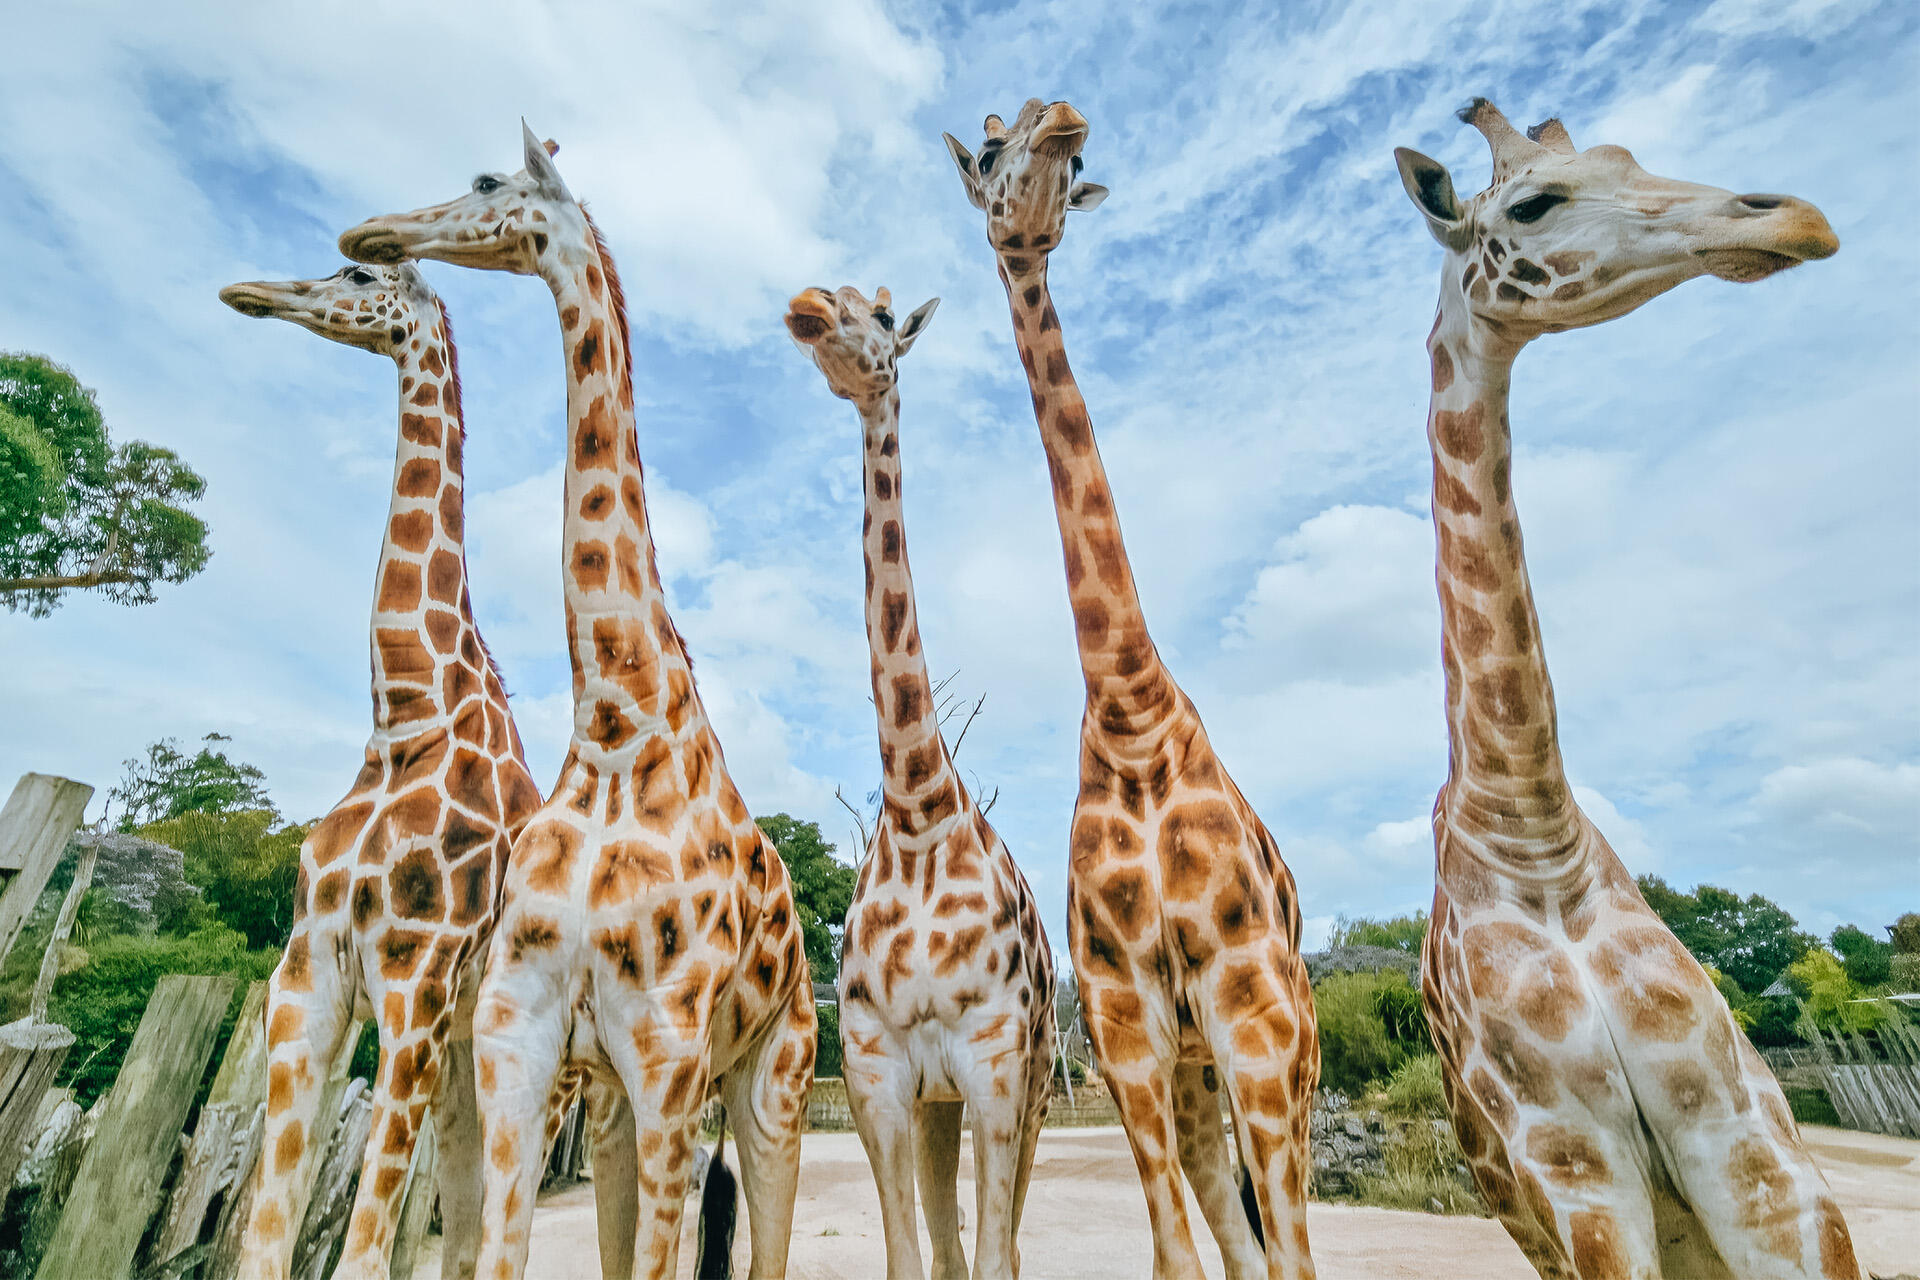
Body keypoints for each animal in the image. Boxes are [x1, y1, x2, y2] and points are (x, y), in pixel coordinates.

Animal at [218, 263, 545, 1280]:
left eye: (357, 274)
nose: (250, 291)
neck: (407, 715)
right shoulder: (307, 976)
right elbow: (269, 1237)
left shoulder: (417, 979)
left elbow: (360, 1246)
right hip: (468, 1060)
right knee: (468, 1218)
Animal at [339, 126, 817, 1280]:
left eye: (483, 181)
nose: (367, 232)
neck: (614, 728)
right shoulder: (519, 1032)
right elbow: (495, 1247)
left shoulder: (669, 1049)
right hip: (611, 1102)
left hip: (773, 1075)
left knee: (768, 1232)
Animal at [785, 283, 1058, 1280]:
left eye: (881, 313)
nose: (808, 308)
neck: (914, 812)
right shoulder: (879, 1074)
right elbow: (915, 1257)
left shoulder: (996, 1066)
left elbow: (996, 1256)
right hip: (943, 1105)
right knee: (947, 1245)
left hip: (1037, 1080)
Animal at [945, 100, 1317, 1280]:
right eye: (991, 151)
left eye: (1074, 164)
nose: (1065, 120)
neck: (1130, 709)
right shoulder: (1122, 1018)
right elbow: (1177, 1251)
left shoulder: (1249, 998)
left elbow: (1283, 1252)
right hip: (1196, 1065)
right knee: (1227, 1218)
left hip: (1288, 1041)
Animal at [1393, 100, 1856, 1279]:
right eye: (1531, 204)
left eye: (1631, 155)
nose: (1793, 215)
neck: (1535, 835)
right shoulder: (1573, 1169)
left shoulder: (1753, 1142)